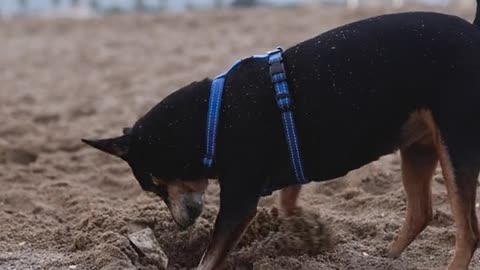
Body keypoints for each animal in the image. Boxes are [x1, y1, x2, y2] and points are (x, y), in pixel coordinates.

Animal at [84, 4, 480, 270]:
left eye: (156, 184)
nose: (181, 223)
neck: (211, 119)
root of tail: (473, 33)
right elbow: (287, 204)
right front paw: (297, 233)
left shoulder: (238, 204)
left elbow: (209, 258)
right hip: (417, 147)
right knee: (421, 213)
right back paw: (387, 258)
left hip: (455, 144)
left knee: (468, 233)